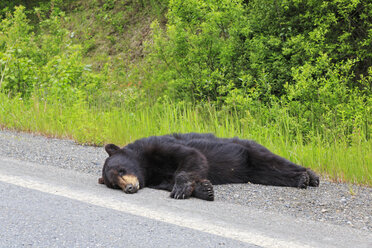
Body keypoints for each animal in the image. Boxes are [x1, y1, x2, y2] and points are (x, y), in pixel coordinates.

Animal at [99, 133, 320, 201]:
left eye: (121, 170)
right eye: (114, 184)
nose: (129, 188)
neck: (147, 168)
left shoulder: (159, 147)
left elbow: (192, 157)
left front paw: (181, 189)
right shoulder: (156, 178)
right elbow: (169, 181)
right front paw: (204, 189)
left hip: (251, 150)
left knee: (275, 162)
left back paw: (308, 176)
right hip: (254, 171)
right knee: (270, 174)